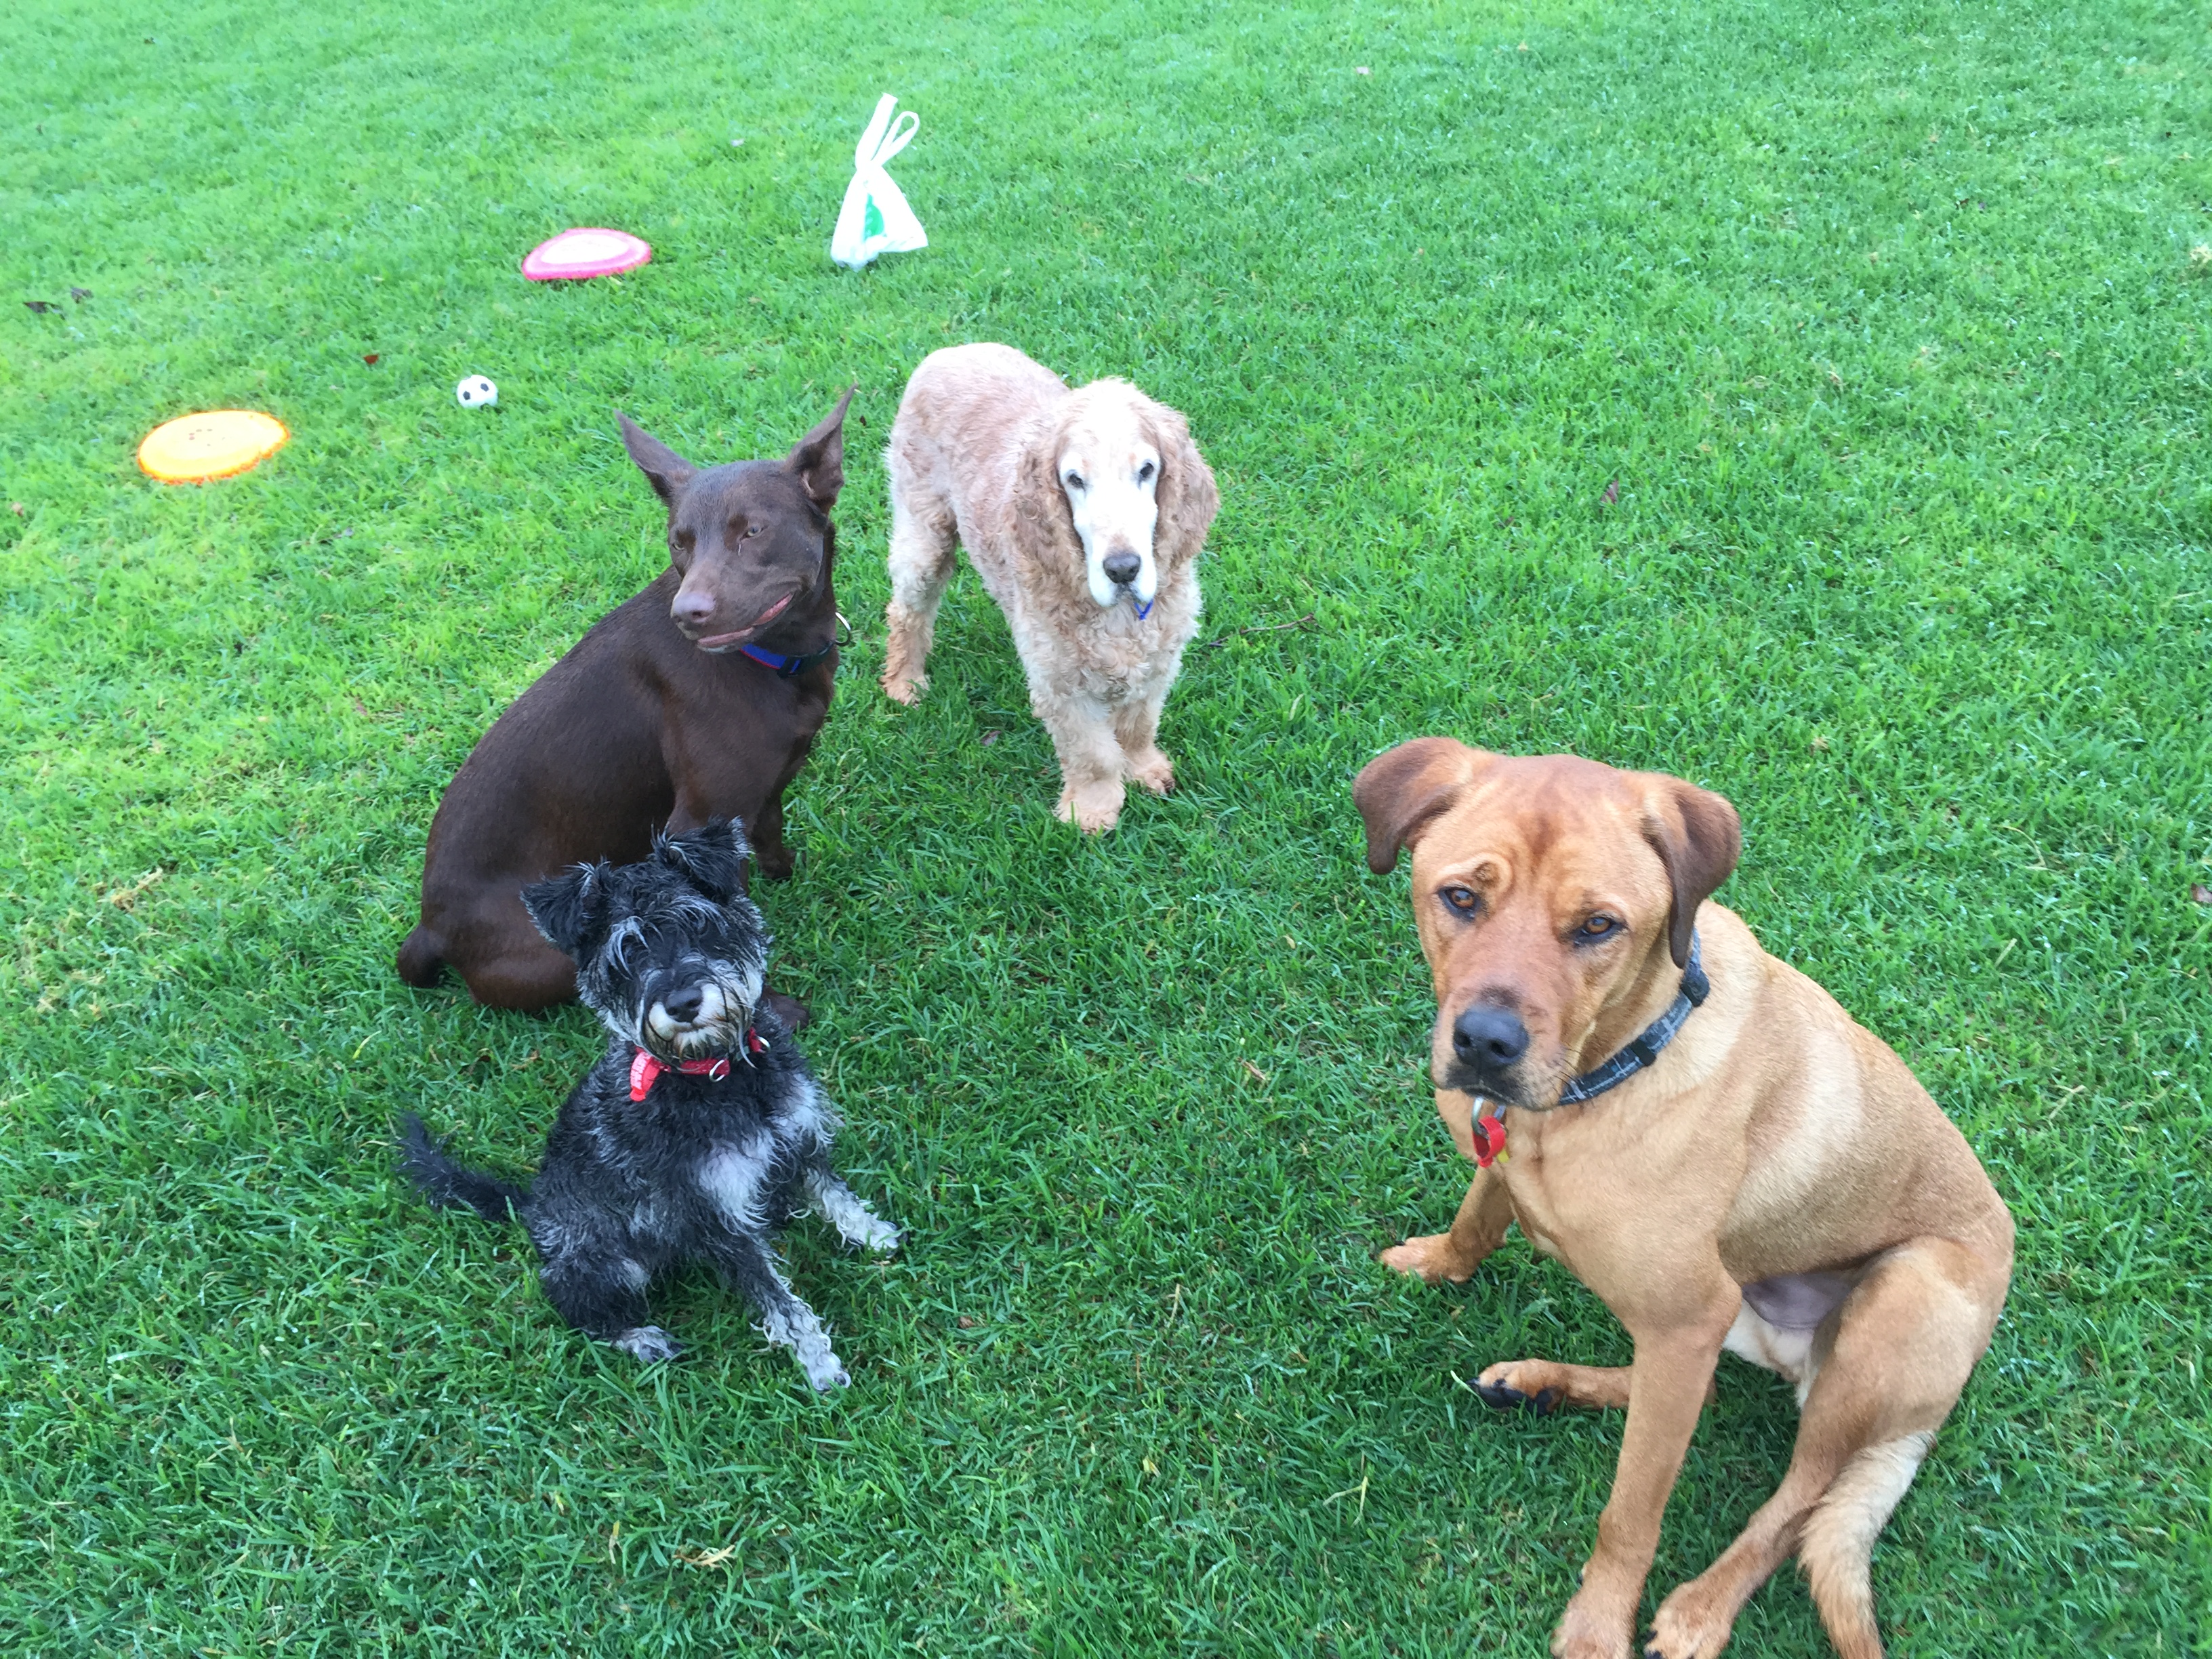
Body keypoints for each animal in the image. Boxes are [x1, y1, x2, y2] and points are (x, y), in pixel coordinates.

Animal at [396, 391, 853, 1011]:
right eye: (679, 541)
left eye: (753, 530)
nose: (689, 614)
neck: (773, 660)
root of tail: (430, 928)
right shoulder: (696, 821)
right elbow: (726, 926)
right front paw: (760, 1008)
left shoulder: (760, 793)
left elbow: (770, 837)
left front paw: (786, 880)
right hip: (555, 955)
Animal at [399, 821, 899, 1388]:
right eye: (626, 955)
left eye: (698, 924)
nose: (682, 1003)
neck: (716, 1076)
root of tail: (531, 1205)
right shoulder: (718, 1218)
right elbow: (776, 1297)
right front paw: (819, 1363)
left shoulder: (799, 1137)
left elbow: (833, 1192)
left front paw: (873, 1233)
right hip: (605, 1265)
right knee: (578, 1310)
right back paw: (643, 1340)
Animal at [879, 343, 1218, 832]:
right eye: (1075, 480)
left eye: (1147, 470)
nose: (1123, 569)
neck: (1117, 616)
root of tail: (953, 349)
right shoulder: (1061, 684)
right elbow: (1092, 754)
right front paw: (1092, 811)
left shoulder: (1159, 659)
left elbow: (1138, 724)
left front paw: (1144, 769)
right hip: (923, 531)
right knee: (907, 609)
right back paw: (905, 681)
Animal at [1355, 739, 2013, 1659]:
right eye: (1460, 897)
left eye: (1598, 926)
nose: (1485, 1043)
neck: (1601, 1079)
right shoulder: (1656, 1295)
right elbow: (1477, 1220)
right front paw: (1435, 1262)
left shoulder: (1689, 1316)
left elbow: (1631, 1513)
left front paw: (1599, 1627)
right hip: (1736, 1321)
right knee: (1690, 1396)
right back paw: (1540, 1383)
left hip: (1888, 1311)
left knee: (1796, 1504)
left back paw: (1703, 1609)